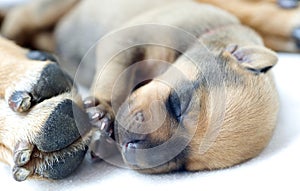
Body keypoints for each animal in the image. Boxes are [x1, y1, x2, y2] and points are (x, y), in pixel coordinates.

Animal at [0, 0, 280, 181]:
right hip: (49, 9)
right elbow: (114, 77)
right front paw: (103, 109)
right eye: (180, 106)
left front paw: (106, 143)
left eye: (185, 165)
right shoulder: (125, 42)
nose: (131, 149)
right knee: (21, 19)